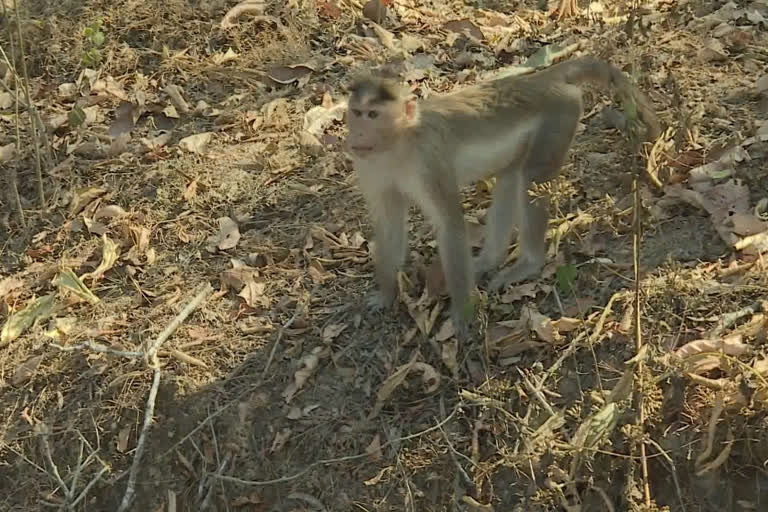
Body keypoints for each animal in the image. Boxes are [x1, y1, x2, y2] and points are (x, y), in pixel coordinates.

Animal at [342, 56, 660, 340]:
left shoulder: (428, 160)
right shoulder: (369, 165)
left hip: (559, 118)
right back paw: (488, 260)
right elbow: (389, 223)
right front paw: (386, 293)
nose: (357, 134)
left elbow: (450, 225)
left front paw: (462, 314)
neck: (398, 143)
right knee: (510, 176)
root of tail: (541, 79)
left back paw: (528, 262)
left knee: (532, 176)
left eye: (373, 115)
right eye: (356, 112)